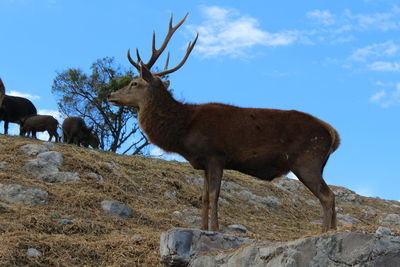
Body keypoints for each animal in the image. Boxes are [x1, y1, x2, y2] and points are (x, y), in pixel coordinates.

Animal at [108, 13, 340, 233]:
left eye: (134, 83)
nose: (111, 95)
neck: (185, 130)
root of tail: (333, 134)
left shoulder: (216, 155)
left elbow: (214, 195)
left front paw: (216, 228)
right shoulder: (203, 162)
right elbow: (203, 197)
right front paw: (202, 228)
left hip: (308, 159)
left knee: (327, 196)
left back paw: (324, 232)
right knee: (331, 195)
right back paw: (333, 230)